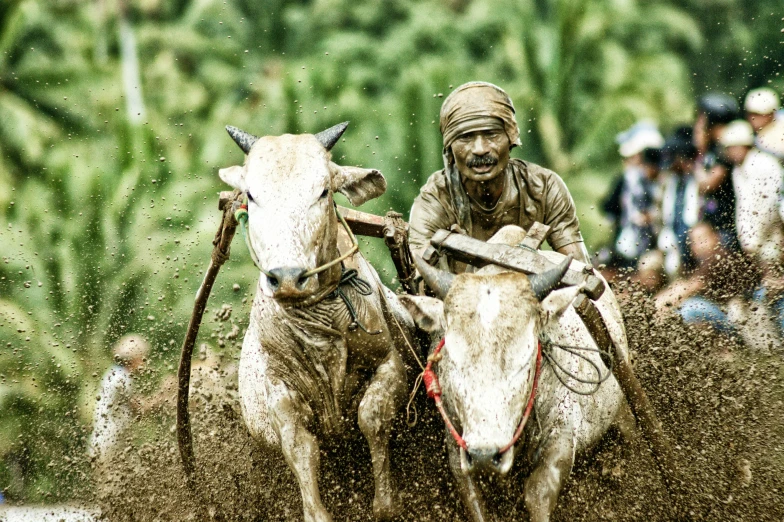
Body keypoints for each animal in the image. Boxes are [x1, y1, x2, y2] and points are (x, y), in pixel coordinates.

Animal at [214, 123, 410, 520]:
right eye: (252, 195)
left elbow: (371, 415)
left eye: (322, 191)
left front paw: (385, 503)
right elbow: (301, 449)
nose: (288, 277)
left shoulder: (389, 364)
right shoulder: (281, 397)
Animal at [402, 224, 628, 520]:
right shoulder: (458, 446)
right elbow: (474, 498)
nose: (485, 455)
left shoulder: (563, 434)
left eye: (525, 357)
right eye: (452, 355)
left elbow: (537, 492)